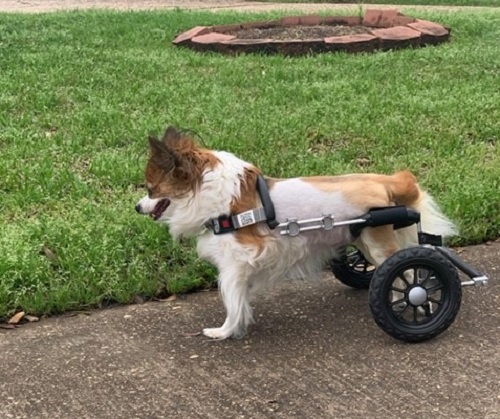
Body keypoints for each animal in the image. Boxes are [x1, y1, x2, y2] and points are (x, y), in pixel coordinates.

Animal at [136, 126, 458, 340]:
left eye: (151, 190)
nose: (138, 207)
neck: (216, 198)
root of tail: (387, 181)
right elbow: (240, 297)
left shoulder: (236, 261)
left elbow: (232, 299)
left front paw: (226, 330)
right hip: (364, 240)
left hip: (378, 244)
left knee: (410, 274)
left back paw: (417, 305)